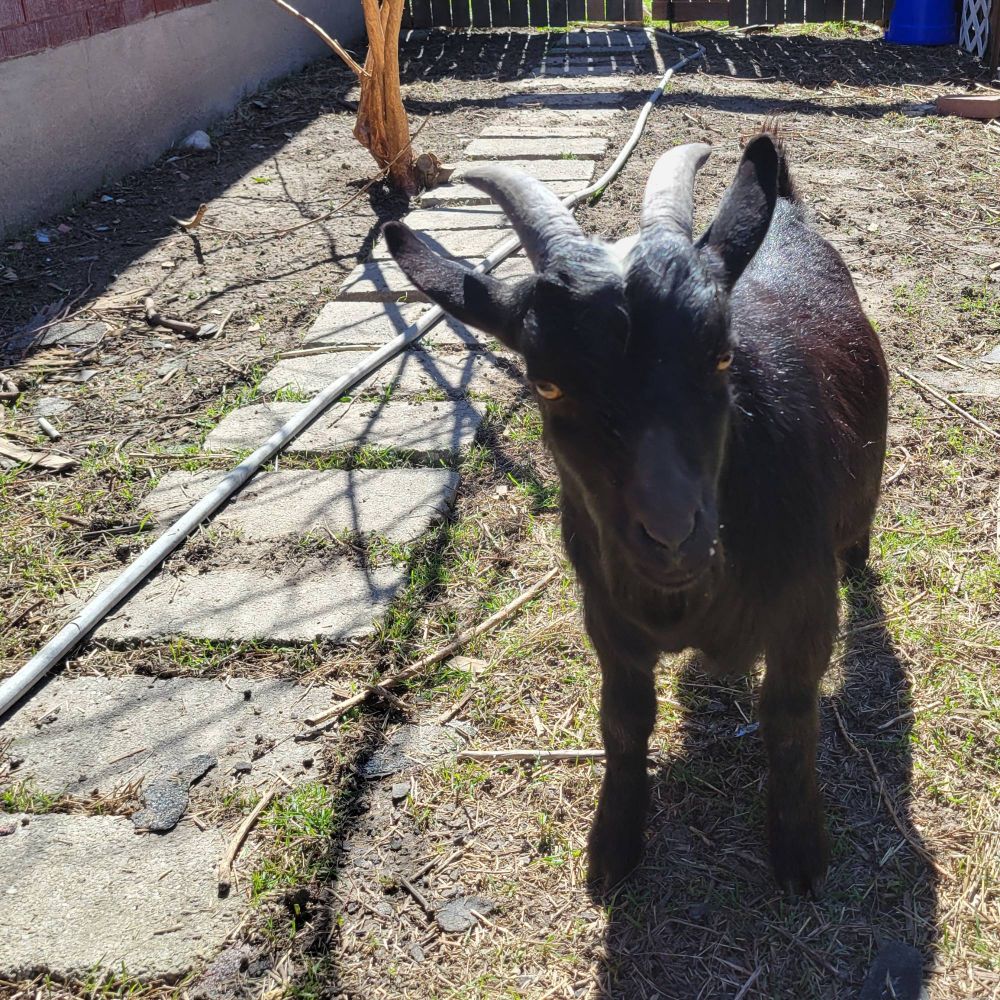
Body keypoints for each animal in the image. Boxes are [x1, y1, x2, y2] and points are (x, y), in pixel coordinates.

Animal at [384, 131, 888, 896]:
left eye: (721, 356)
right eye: (547, 383)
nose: (673, 536)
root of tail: (786, 213)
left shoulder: (806, 610)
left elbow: (789, 716)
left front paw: (800, 852)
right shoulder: (608, 620)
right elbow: (622, 722)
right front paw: (613, 846)